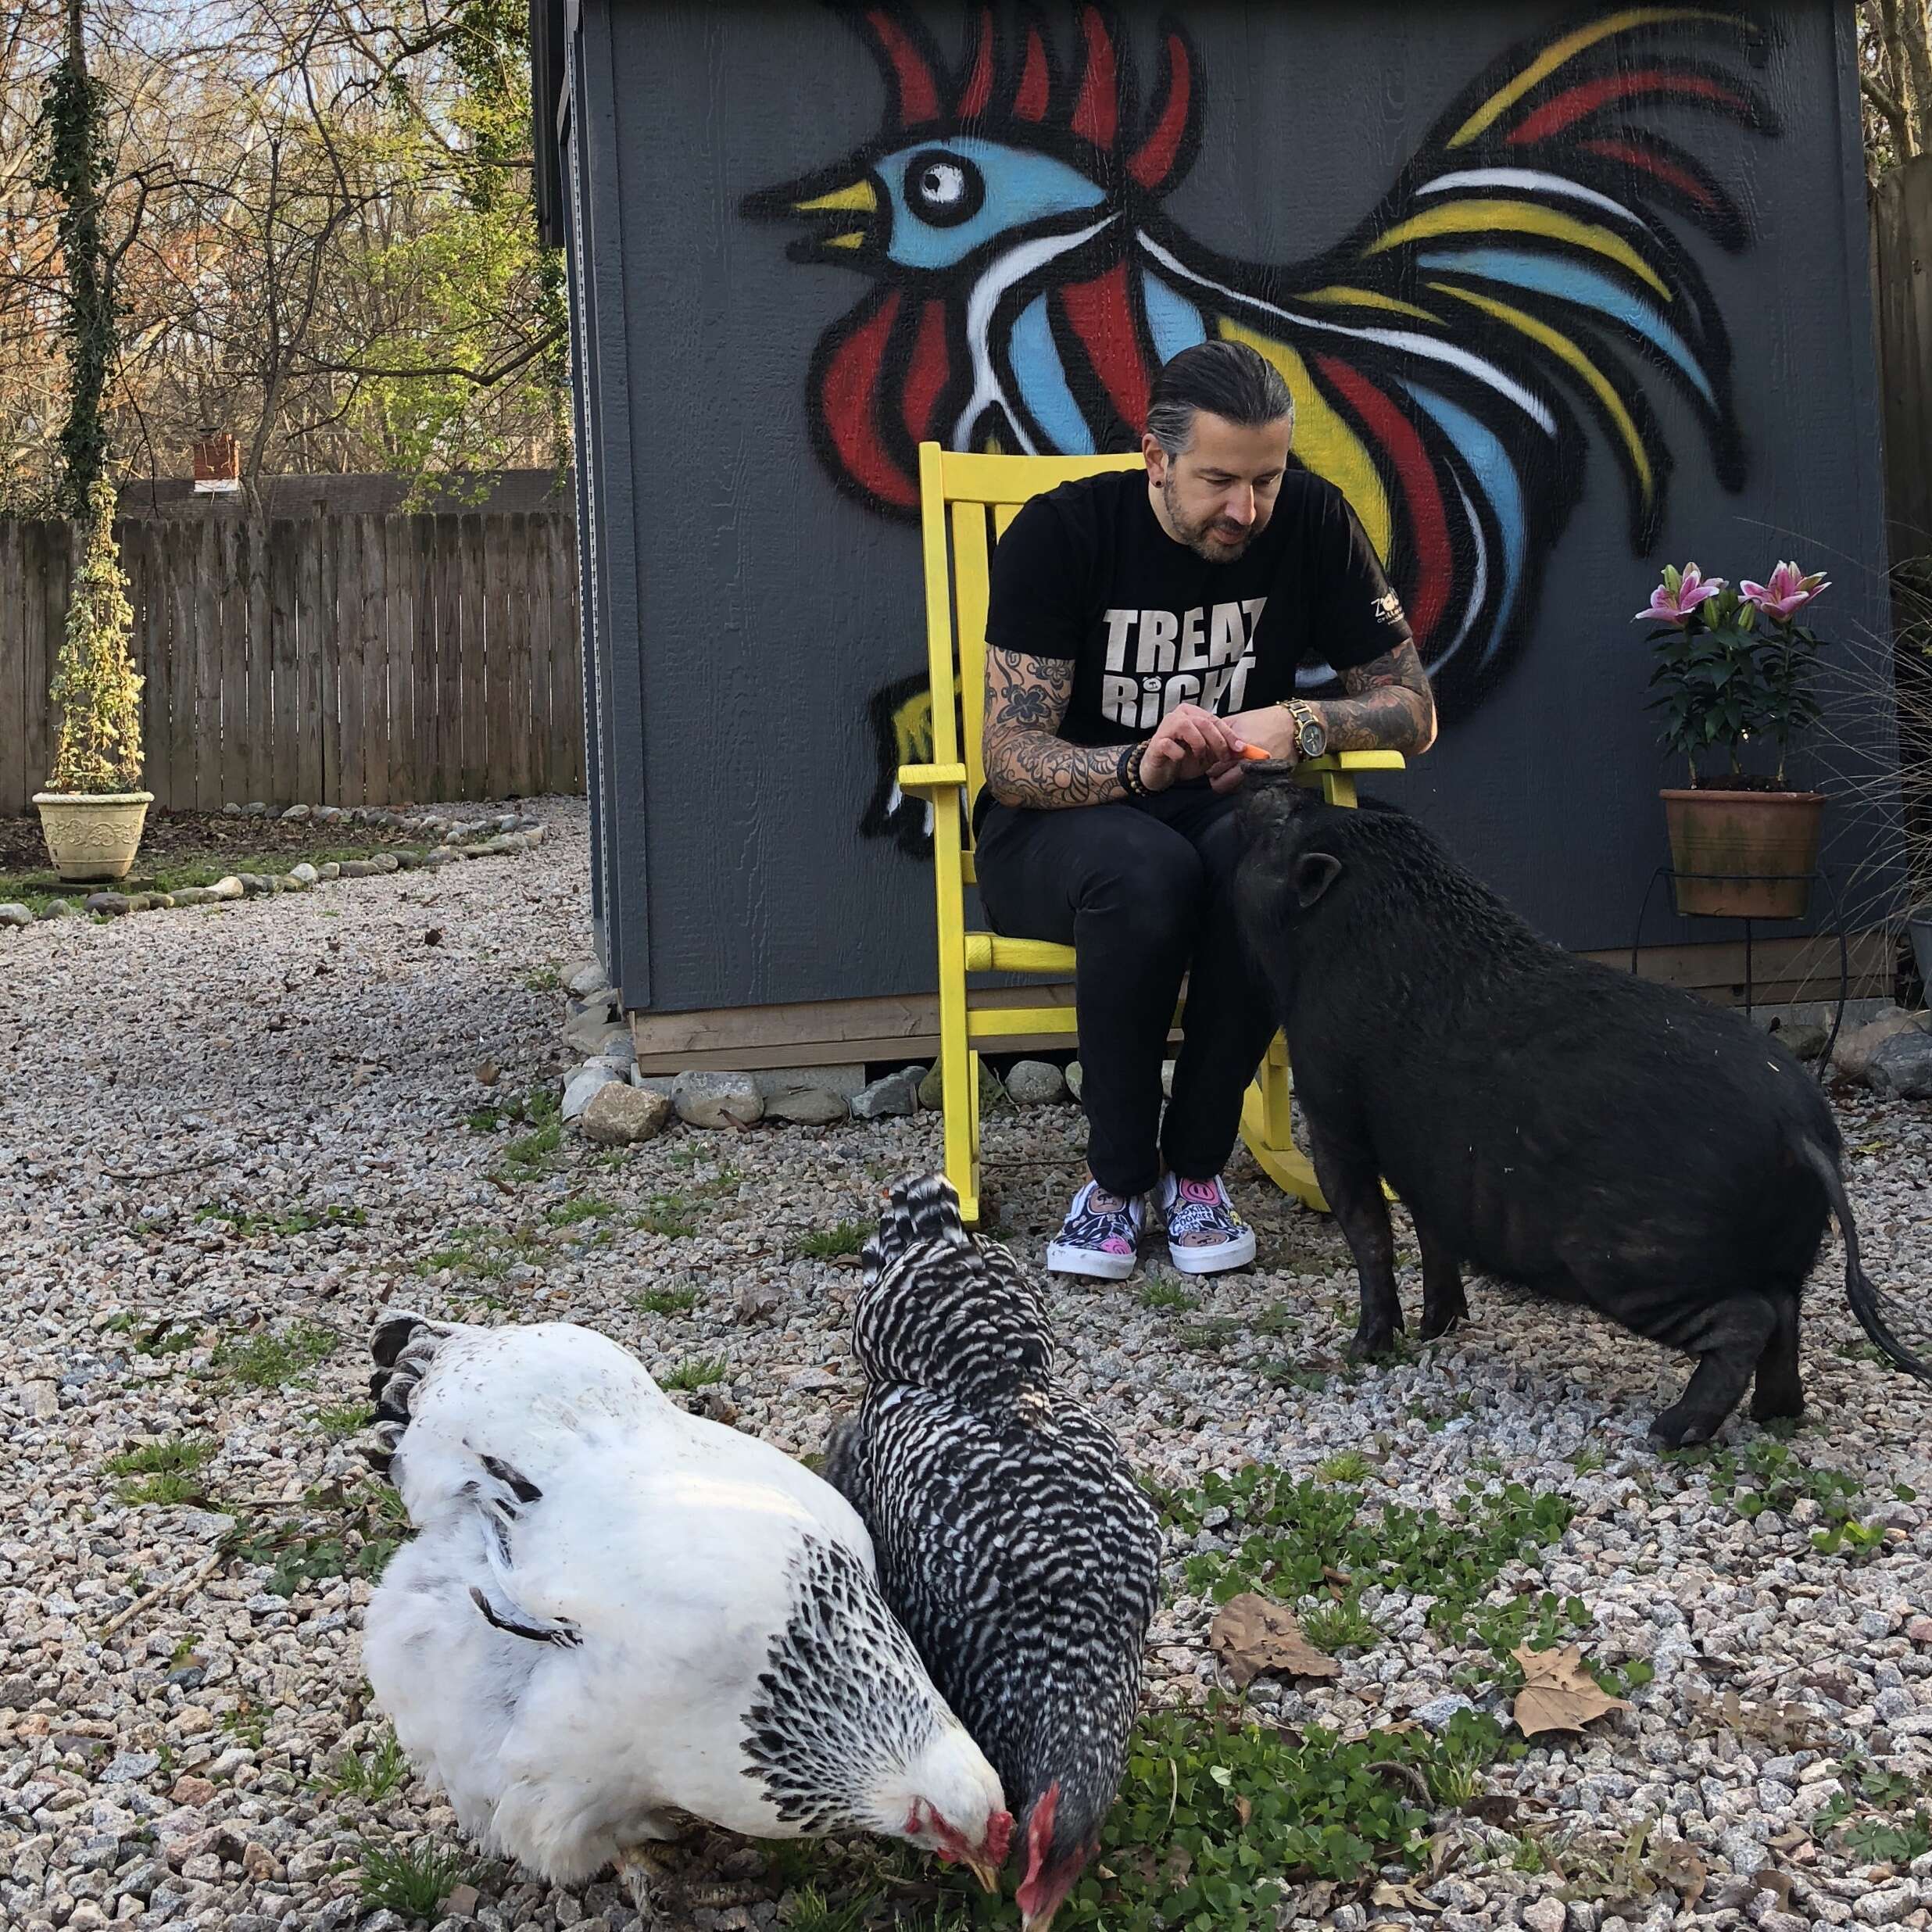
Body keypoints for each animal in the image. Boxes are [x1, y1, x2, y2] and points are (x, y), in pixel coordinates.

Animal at [1229, 768, 1924, 1452]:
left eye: (1282, 822)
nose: (1262, 779)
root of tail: (1802, 1129)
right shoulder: (1429, 1167)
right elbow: (1433, 1234)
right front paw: (1437, 1331)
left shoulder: (1332, 1112)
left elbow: (1369, 1232)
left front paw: (1363, 1350)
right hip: (1781, 1255)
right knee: (1785, 1315)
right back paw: (1773, 1417)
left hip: (1634, 1261)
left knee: (1749, 1317)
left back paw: (1666, 1433)